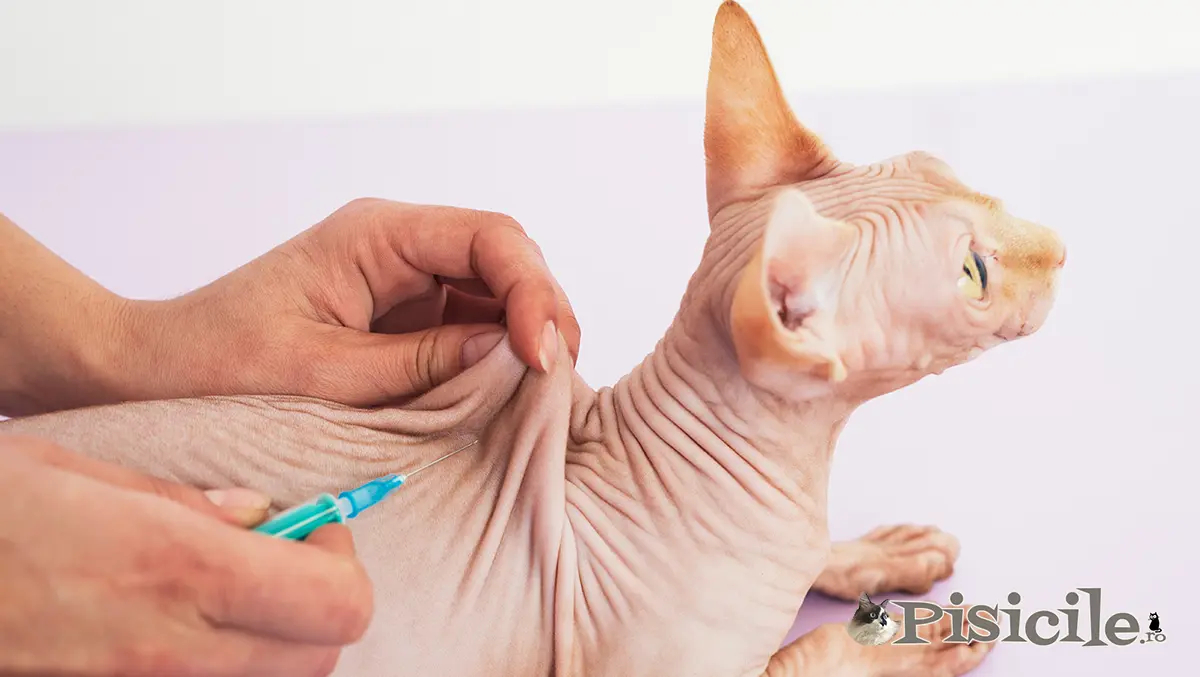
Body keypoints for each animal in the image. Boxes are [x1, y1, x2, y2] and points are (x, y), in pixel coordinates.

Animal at [2, 2, 1070, 672]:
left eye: (961, 173)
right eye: (974, 274)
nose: (1065, 246)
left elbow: (817, 558)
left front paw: (875, 551)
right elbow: (808, 657)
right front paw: (908, 639)